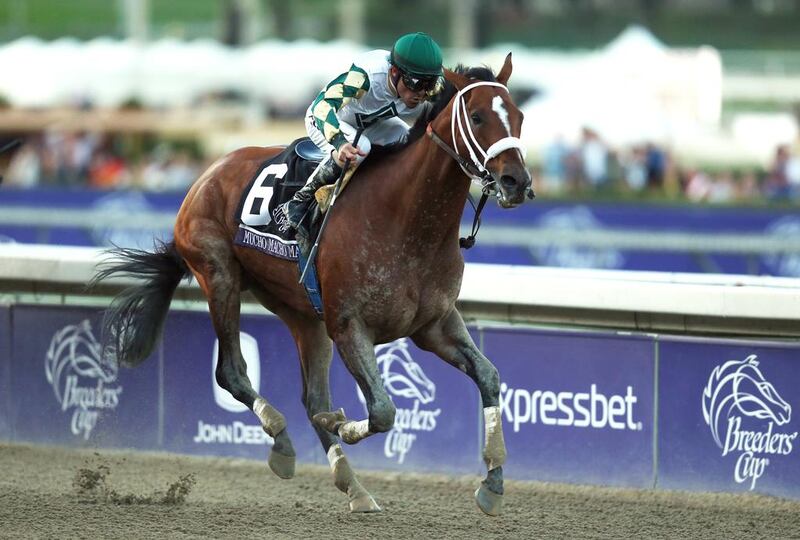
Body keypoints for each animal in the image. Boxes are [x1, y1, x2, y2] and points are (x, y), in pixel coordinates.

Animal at [94, 53, 532, 516]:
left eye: (519, 115)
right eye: (478, 116)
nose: (516, 182)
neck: (408, 222)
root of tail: (205, 174)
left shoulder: (435, 325)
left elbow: (489, 377)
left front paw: (493, 481)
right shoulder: (349, 325)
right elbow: (382, 411)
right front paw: (341, 422)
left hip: (304, 315)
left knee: (312, 398)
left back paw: (352, 486)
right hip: (220, 275)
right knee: (232, 372)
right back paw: (282, 439)